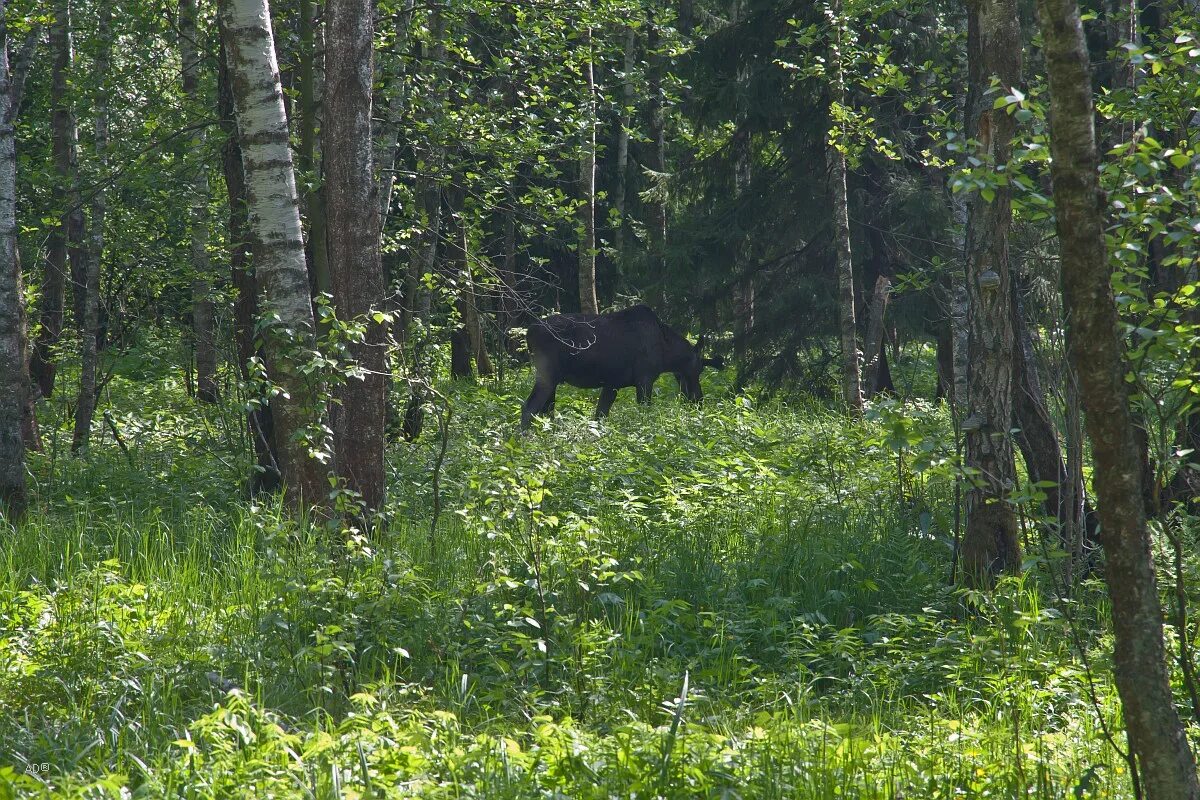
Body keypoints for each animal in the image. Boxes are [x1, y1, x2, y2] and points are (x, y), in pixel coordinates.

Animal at [518, 304, 720, 429]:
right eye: (698, 369)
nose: (699, 400)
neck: (666, 353)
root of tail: (528, 332)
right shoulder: (645, 379)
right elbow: (644, 411)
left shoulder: (612, 384)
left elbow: (600, 416)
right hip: (547, 375)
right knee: (528, 408)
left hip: (553, 381)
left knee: (546, 410)